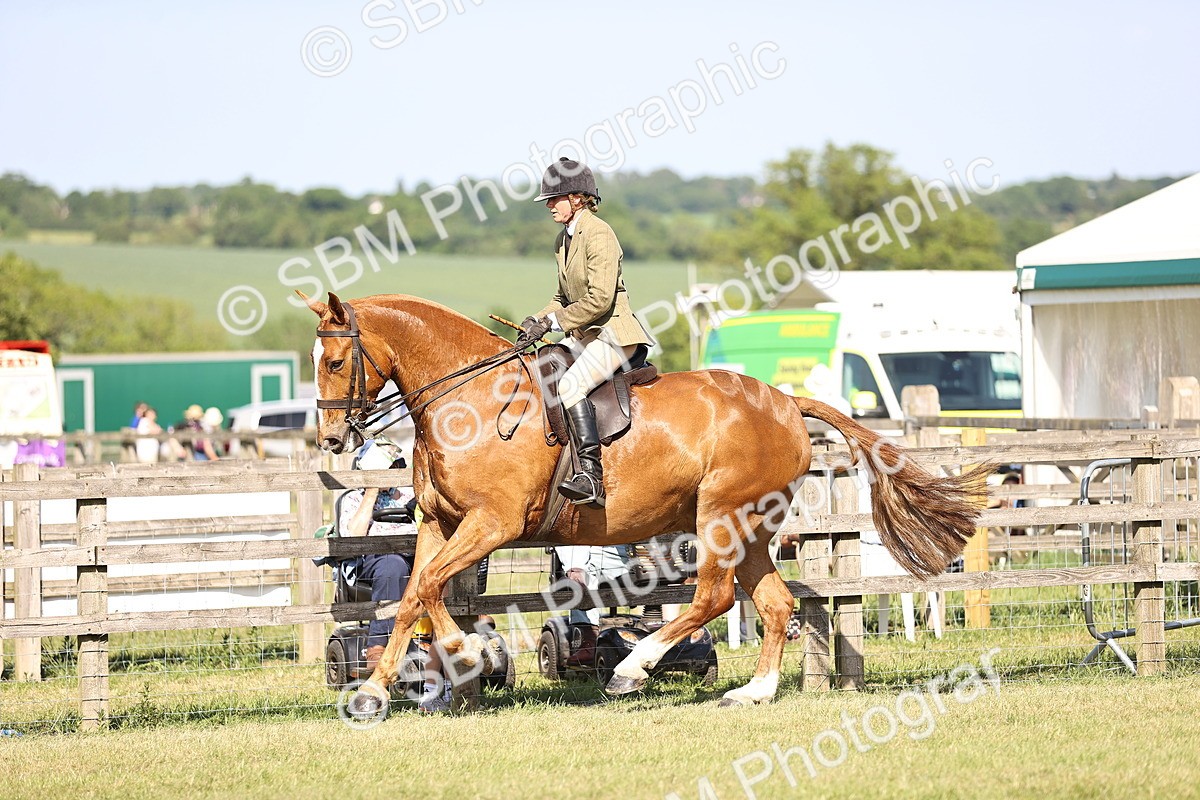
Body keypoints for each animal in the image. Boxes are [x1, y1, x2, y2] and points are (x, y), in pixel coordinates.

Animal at [303, 291, 987, 714]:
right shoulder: (440, 523)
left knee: (712, 598)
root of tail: (787, 402)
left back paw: (632, 668)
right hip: (749, 528)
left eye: (335, 361)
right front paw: (376, 691)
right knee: (773, 602)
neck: (466, 399)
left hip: (720, 517)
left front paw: (464, 654)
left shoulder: (492, 523)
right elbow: (415, 594)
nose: (333, 438)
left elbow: (426, 589)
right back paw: (755, 692)